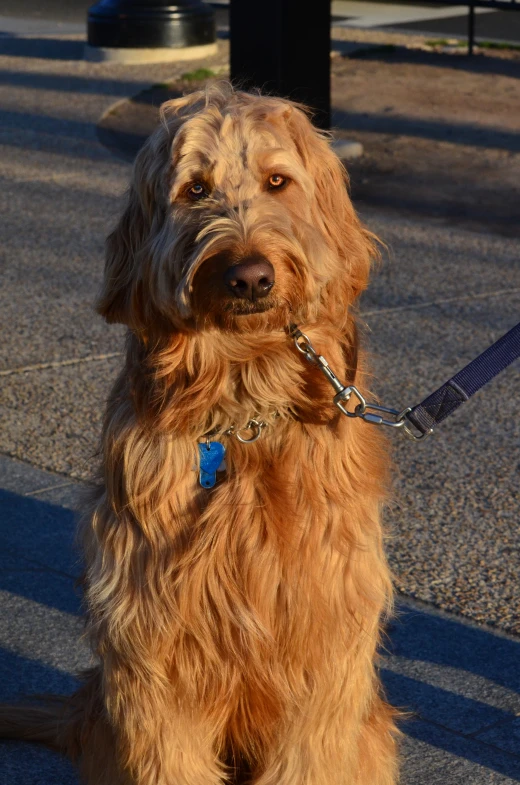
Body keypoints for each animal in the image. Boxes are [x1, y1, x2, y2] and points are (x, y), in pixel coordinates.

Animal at [1, 81, 398, 784]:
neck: (242, 407)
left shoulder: (322, 648)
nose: (249, 276)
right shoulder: (153, 650)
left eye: (277, 181)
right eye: (194, 189)